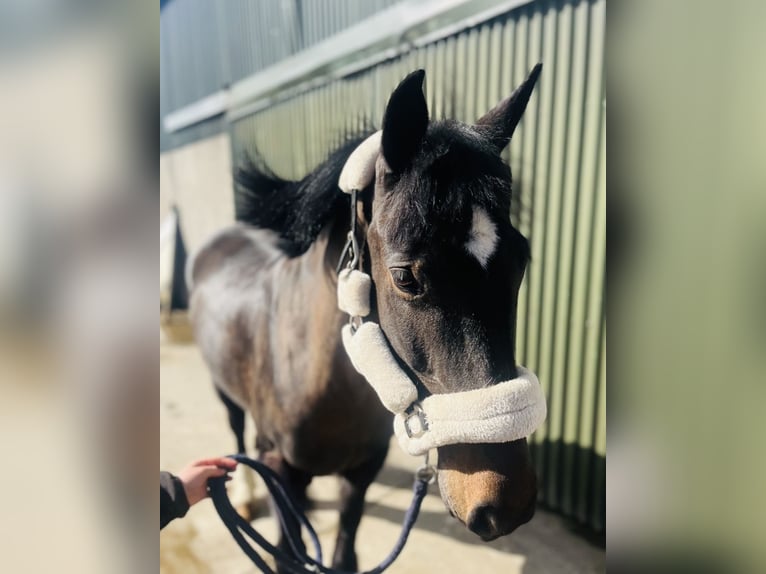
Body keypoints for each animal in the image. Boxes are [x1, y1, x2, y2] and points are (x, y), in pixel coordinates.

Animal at [188, 65, 542, 571]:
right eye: (405, 277)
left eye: (522, 259)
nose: (503, 503)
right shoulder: (283, 469)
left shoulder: (362, 469)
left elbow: (344, 551)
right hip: (226, 393)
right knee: (238, 431)